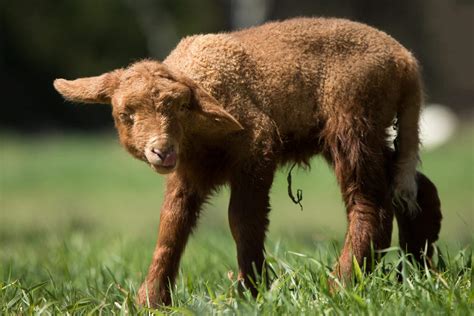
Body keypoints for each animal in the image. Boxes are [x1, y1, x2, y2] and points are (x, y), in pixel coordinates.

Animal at [53, 17, 442, 306]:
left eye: (181, 106)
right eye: (125, 114)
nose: (161, 151)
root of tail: (405, 60)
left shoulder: (258, 148)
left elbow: (242, 220)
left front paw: (253, 290)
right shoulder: (188, 171)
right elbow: (171, 224)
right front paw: (153, 299)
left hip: (353, 118)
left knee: (370, 203)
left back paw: (342, 284)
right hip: (369, 127)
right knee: (410, 186)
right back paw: (417, 265)